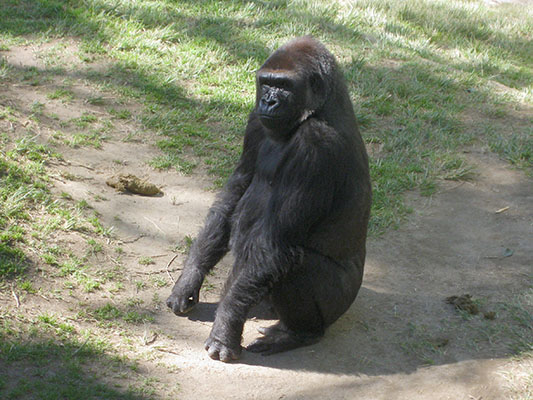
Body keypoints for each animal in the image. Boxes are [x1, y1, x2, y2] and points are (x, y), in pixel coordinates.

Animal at [166, 36, 370, 362]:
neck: (317, 110)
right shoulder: (255, 121)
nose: (268, 101)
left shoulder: (315, 148)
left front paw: (225, 328)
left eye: (284, 86)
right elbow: (234, 194)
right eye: (266, 82)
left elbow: (273, 243)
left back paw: (300, 333)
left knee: (293, 262)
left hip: (339, 303)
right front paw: (187, 280)